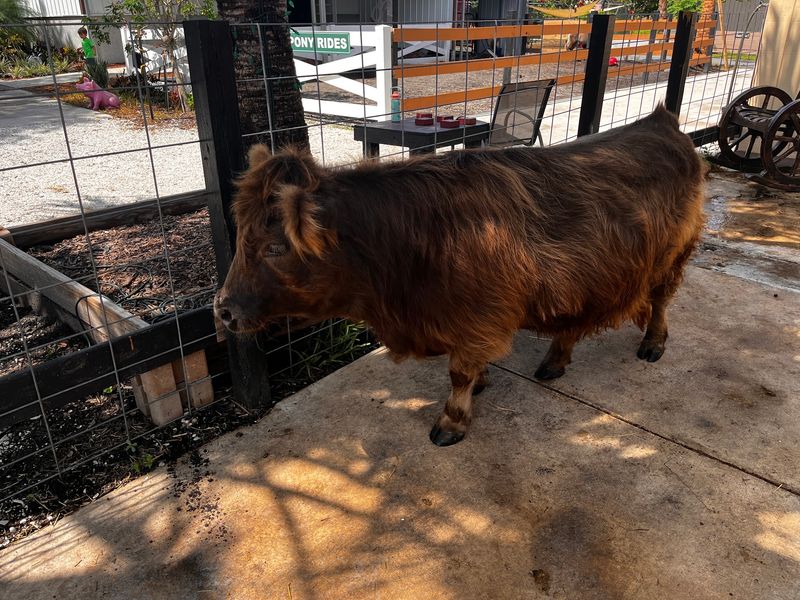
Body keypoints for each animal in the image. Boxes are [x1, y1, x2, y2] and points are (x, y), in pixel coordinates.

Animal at [214, 104, 706, 447]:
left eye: (275, 247)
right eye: (240, 237)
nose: (224, 310)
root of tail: (661, 122)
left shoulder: (479, 316)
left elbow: (459, 373)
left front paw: (451, 422)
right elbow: (471, 368)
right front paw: (483, 384)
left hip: (673, 255)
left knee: (660, 301)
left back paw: (652, 345)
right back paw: (554, 361)